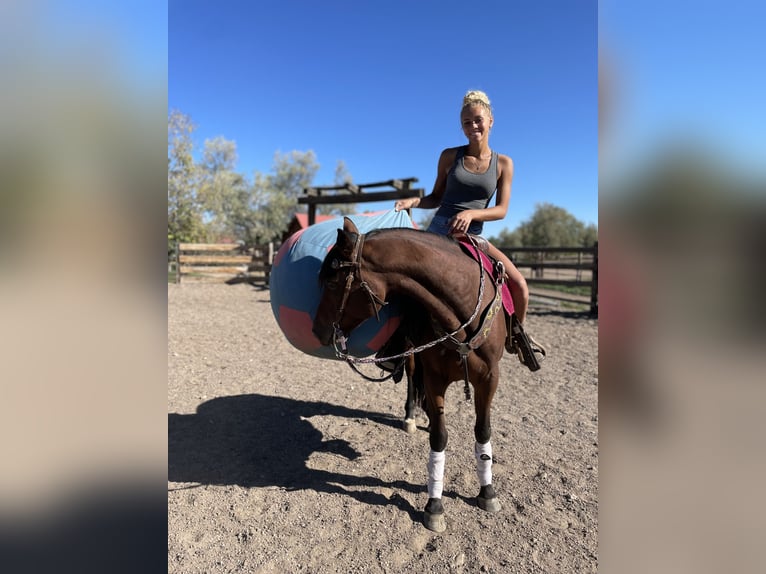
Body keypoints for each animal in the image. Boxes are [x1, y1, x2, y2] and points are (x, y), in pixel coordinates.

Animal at [312, 217, 510, 533]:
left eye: (332, 282)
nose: (317, 329)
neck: (464, 308)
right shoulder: (434, 378)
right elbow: (439, 438)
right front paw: (434, 506)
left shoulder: (490, 378)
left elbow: (483, 431)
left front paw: (487, 492)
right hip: (413, 357)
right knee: (411, 383)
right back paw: (411, 416)